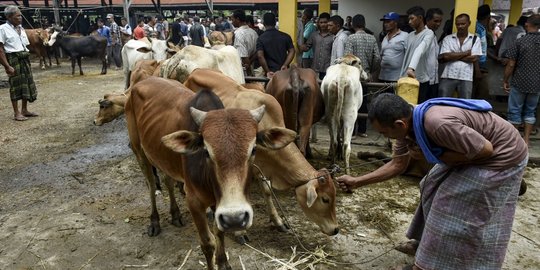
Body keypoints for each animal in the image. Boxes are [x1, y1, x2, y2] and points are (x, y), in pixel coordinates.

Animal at [125, 77, 296, 268]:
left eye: (253, 149)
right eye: (206, 151)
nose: (236, 218)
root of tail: (140, 83)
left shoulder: (218, 205)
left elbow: (219, 233)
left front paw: (224, 263)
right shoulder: (194, 202)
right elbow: (208, 243)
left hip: (164, 158)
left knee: (168, 181)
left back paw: (175, 214)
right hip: (139, 151)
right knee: (151, 185)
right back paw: (154, 221)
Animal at [184, 68, 340, 236]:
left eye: (334, 196)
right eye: (325, 199)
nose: (335, 229)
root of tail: (195, 71)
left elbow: (267, 190)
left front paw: (278, 221)